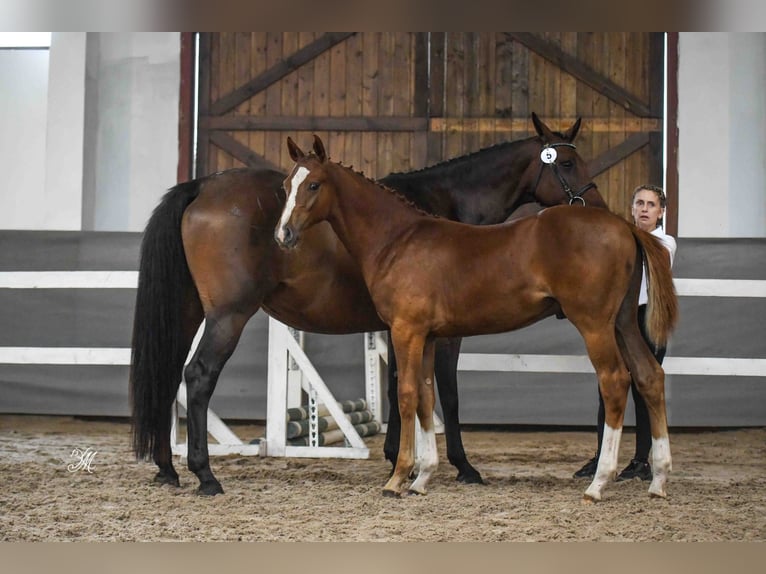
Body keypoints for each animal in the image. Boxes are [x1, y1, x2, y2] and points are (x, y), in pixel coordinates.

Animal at [130, 113, 605, 496]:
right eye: (566, 163)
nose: (595, 206)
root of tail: (202, 186)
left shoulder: (404, 327)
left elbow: (399, 389)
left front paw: (399, 459)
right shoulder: (442, 333)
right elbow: (444, 394)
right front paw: (460, 467)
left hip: (191, 312)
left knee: (170, 374)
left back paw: (167, 469)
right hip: (228, 315)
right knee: (199, 375)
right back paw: (205, 475)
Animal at [275, 135, 678, 502]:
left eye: (314, 184)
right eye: (286, 186)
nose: (283, 234)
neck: (398, 239)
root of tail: (625, 226)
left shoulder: (406, 331)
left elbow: (406, 395)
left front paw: (399, 477)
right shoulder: (428, 336)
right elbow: (426, 395)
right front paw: (423, 477)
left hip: (595, 324)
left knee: (615, 381)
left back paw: (599, 482)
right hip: (623, 323)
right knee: (649, 376)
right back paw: (658, 480)